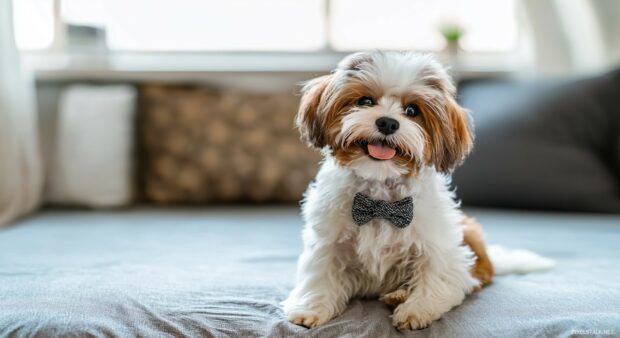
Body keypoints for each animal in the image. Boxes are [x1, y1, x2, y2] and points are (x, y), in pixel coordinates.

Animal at [284, 50, 496, 330]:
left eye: (412, 110)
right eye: (365, 101)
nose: (387, 122)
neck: (380, 197)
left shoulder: (438, 243)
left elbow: (436, 274)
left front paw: (418, 308)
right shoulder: (328, 240)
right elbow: (321, 271)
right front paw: (312, 306)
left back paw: (399, 295)